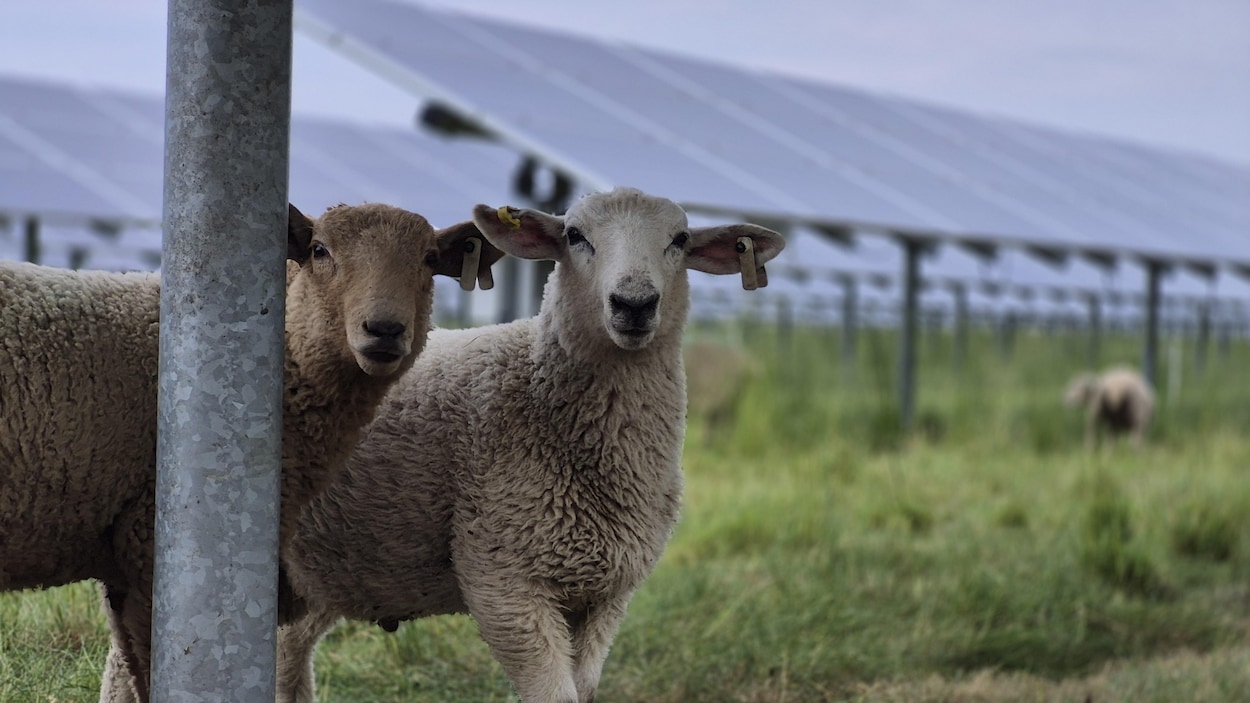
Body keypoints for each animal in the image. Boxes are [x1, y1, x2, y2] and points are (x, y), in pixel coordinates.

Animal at [274, 187, 785, 703]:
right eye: (575, 235)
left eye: (679, 239)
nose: (635, 303)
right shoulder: (504, 580)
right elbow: (554, 694)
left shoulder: (605, 596)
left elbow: (584, 690)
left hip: (328, 566)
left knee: (291, 649)